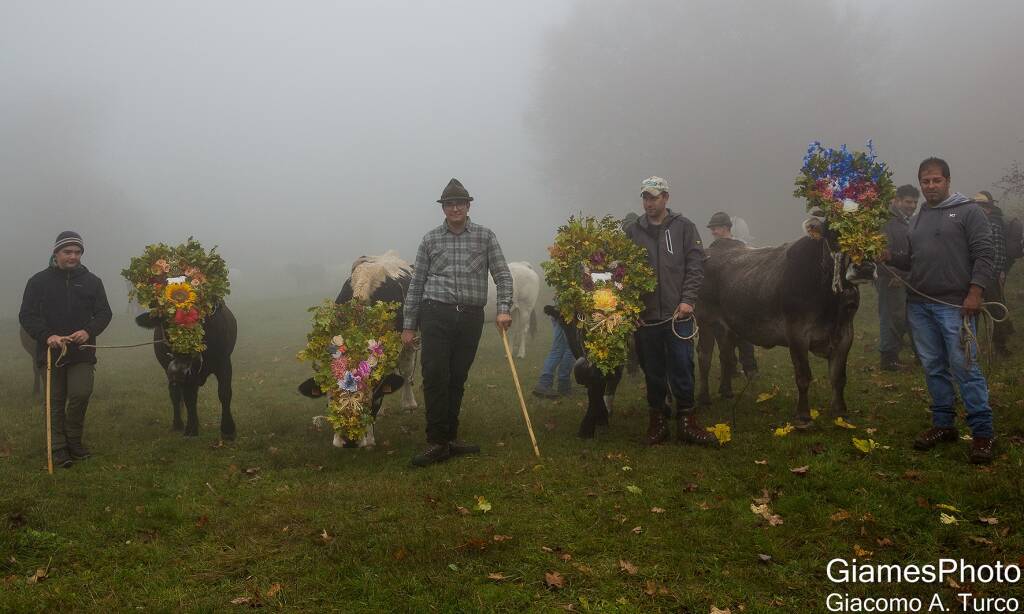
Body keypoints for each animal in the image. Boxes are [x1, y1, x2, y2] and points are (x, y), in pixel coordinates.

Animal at [135, 302, 236, 437]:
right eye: (166, 323)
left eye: (196, 320)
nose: (178, 369)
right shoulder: (185, 375)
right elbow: (188, 397)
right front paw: (191, 428)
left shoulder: (224, 361)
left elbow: (224, 393)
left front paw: (228, 428)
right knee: (175, 394)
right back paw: (178, 424)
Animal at [700, 221, 876, 427]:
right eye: (835, 236)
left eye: (873, 234)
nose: (864, 267)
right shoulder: (797, 333)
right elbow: (803, 376)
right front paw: (803, 416)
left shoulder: (846, 333)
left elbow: (838, 377)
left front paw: (840, 411)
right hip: (704, 320)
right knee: (704, 358)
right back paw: (704, 399)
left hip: (726, 326)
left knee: (726, 356)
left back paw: (726, 391)